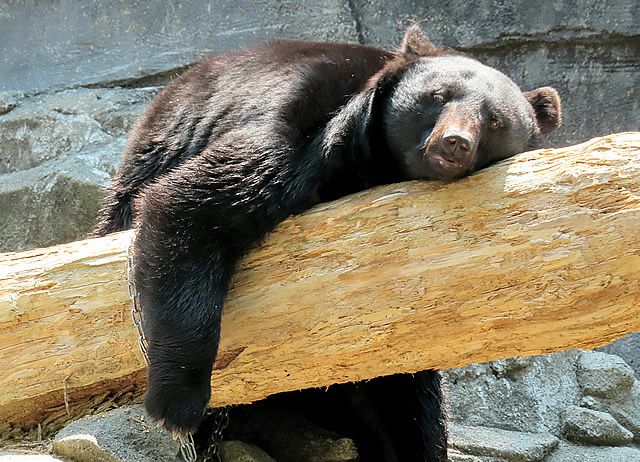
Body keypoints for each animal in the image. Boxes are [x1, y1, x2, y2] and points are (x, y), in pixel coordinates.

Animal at [95, 26, 560, 462]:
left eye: (495, 120)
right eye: (438, 96)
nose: (455, 143)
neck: (371, 165)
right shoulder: (299, 124)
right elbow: (192, 205)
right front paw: (178, 405)